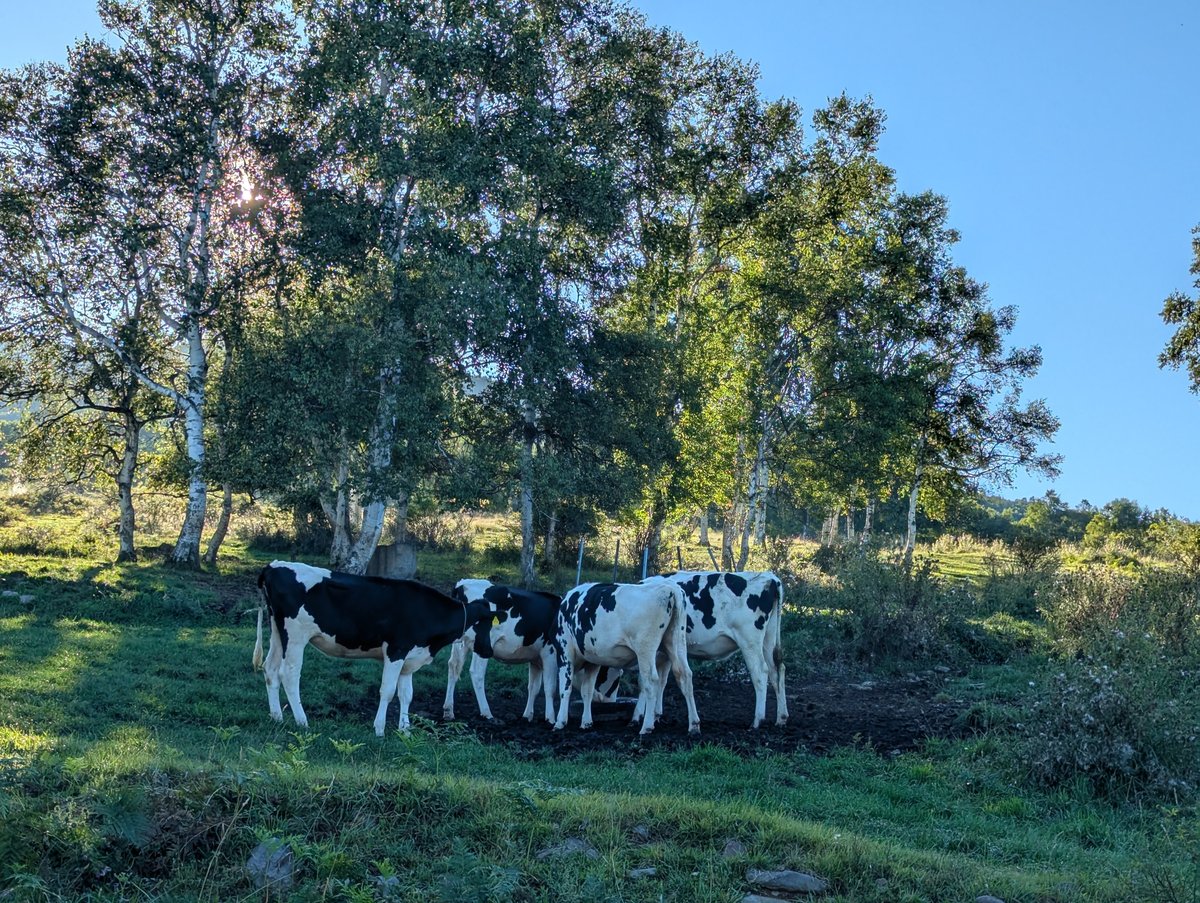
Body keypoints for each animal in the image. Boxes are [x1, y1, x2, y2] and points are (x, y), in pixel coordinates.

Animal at [253, 560, 492, 736]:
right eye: (484, 623)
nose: (489, 651)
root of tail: (273, 566)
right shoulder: (396, 650)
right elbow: (387, 691)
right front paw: (379, 729)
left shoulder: (409, 658)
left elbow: (407, 694)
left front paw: (405, 730)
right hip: (295, 636)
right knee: (289, 674)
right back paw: (302, 721)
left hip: (278, 632)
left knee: (270, 669)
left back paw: (277, 717)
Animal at [442, 580, 561, 724]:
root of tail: (464, 583)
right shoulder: (550, 652)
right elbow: (550, 687)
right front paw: (551, 719)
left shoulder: (535, 658)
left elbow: (533, 687)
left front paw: (527, 716)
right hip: (483, 644)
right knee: (476, 673)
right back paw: (486, 713)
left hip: (461, 643)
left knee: (453, 666)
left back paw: (448, 711)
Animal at [554, 581, 700, 735]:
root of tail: (670, 588)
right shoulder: (592, 659)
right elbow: (587, 690)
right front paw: (586, 722)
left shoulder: (564, 651)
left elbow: (565, 688)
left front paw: (560, 722)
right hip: (675, 642)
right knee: (684, 675)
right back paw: (694, 725)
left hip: (645, 648)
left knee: (651, 681)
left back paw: (646, 726)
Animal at [644, 570, 787, 729]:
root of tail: (770, 577)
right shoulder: (665, 651)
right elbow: (662, 681)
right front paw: (656, 715)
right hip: (768, 638)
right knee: (777, 670)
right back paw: (781, 718)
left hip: (749, 641)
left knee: (761, 672)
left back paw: (757, 721)